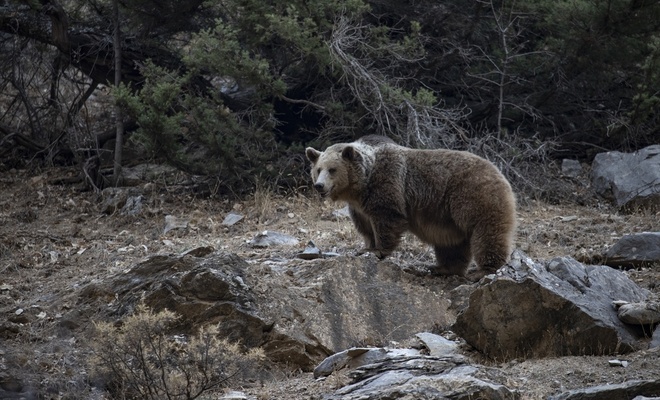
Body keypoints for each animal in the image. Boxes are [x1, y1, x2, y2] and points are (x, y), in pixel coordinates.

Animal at [304, 136, 516, 276]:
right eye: (318, 169)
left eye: (332, 169)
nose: (319, 186)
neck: (362, 185)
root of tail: (500, 172)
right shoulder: (358, 208)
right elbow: (366, 228)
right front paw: (366, 247)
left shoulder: (387, 185)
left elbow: (387, 218)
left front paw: (377, 250)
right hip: (450, 217)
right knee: (452, 245)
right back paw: (440, 268)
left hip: (473, 196)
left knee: (486, 231)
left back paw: (483, 270)